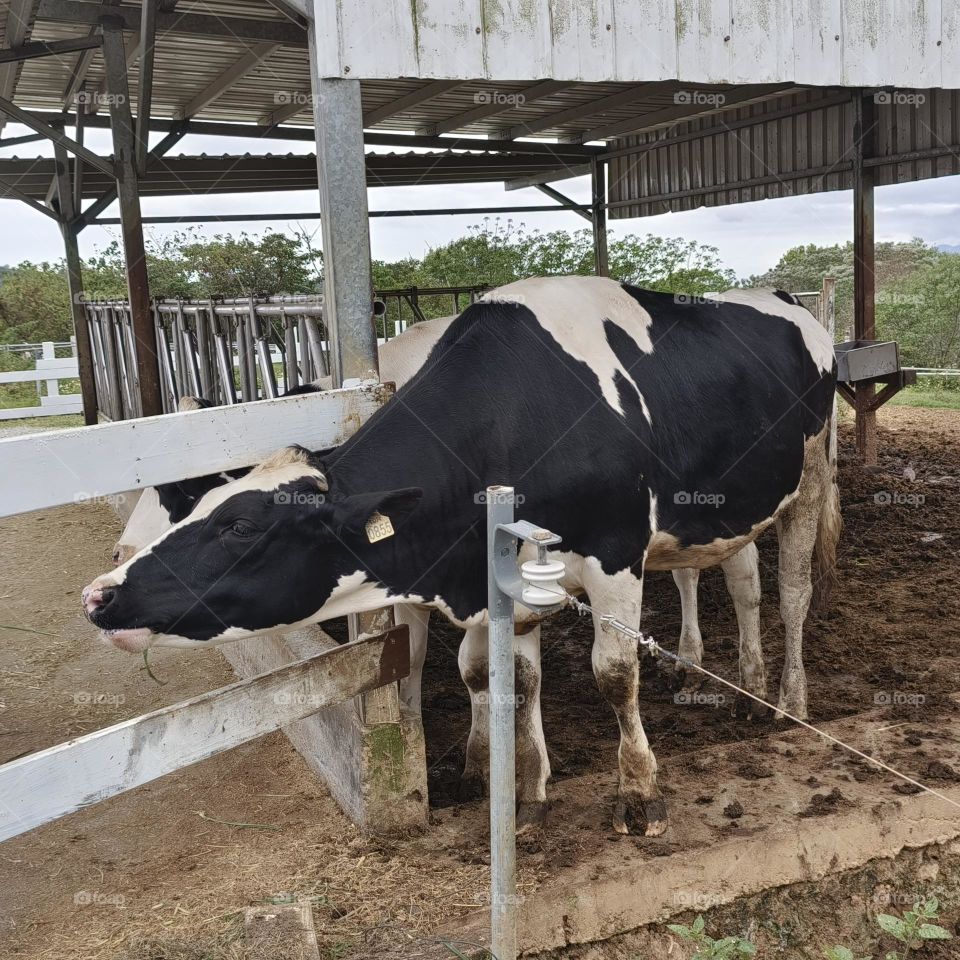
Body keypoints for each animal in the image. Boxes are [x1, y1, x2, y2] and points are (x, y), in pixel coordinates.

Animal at [83, 276, 839, 836]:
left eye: (239, 525)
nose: (102, 590)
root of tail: (780, 296)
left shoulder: (615, 553)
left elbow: (612, 674)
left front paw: (638, 797)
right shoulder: (501, 573)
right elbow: (502, 676)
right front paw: (519, 787)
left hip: (807, 481)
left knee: (792, 590)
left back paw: (790, 701)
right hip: (726, 511)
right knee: (738, 580)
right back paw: (738, 682)